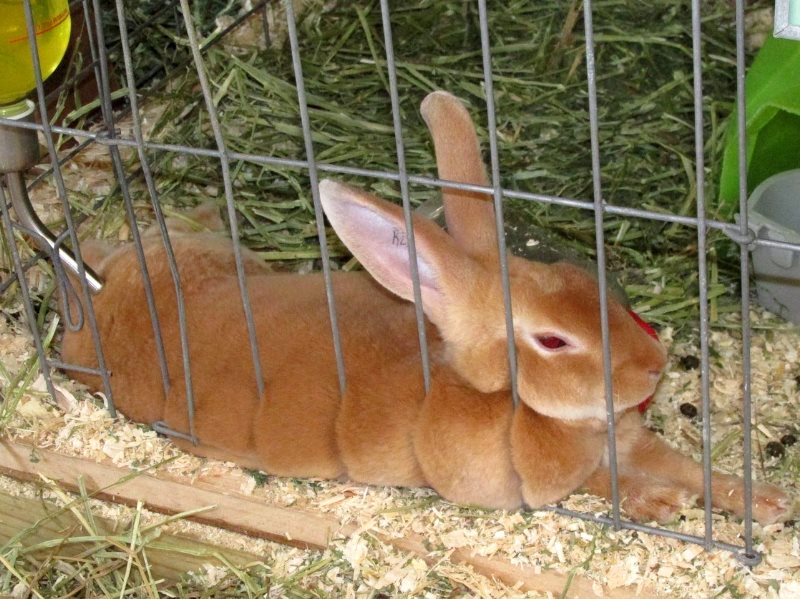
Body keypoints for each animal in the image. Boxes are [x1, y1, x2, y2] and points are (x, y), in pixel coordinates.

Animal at [59, 91, 792, 528]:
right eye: (554, 341)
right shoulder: (549, 480)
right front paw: (662, 503)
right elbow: (605, 486)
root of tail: (97, 295)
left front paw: (771, 502)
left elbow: (691, 466)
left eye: (583, 278)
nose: (654, 365)